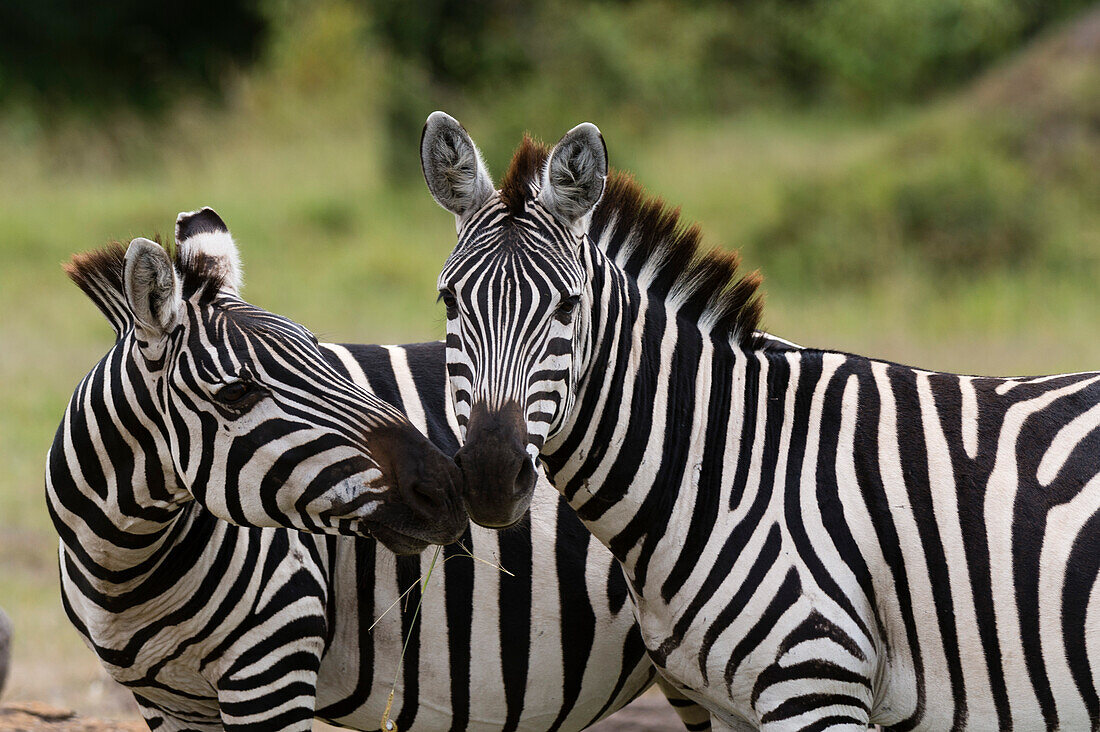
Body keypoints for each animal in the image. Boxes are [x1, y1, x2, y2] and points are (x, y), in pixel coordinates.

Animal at [51, 208, 708, 726]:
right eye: (234, 394)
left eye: (321, 355)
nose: (449, 489)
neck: (129, 563)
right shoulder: (165, 701)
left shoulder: (273, 661)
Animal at [422, 111, 1100, 726]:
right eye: (449, 300)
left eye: (567, 306)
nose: (490, 477)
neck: (722, 466)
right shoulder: (728, 706)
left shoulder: (817, 684)